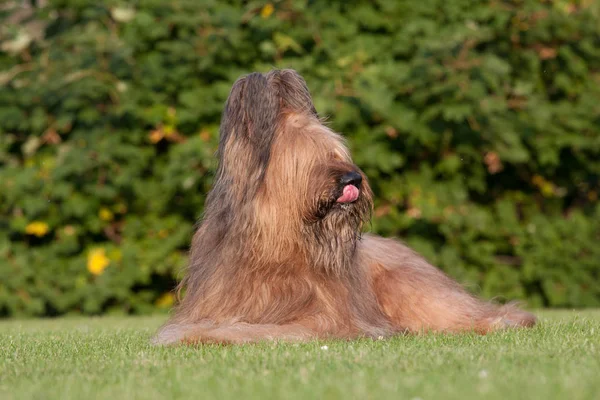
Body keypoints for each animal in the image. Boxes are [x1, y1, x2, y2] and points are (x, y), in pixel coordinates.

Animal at [152, 69, 536, 344]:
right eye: (307, 158)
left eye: (335, 151)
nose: (354, 179)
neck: (273, 249)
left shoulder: (322, 318)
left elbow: (249, 329)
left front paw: (205, 335)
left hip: (417, 291)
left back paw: (502, 322)